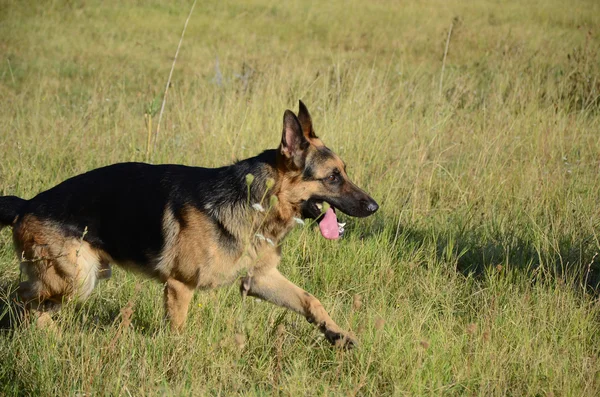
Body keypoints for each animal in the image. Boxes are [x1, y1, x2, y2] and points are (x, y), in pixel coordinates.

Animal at [0, 101, 378, 344]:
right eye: (333, 178)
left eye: (344, 171)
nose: (374, 207)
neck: (256, 199)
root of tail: (26, 204)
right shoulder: (179, 287)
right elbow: (179, 333)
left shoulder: (260, 278)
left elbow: (310, 301)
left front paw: (337, 333)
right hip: (79, 277)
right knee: (20, 299)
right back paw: (48, 334)